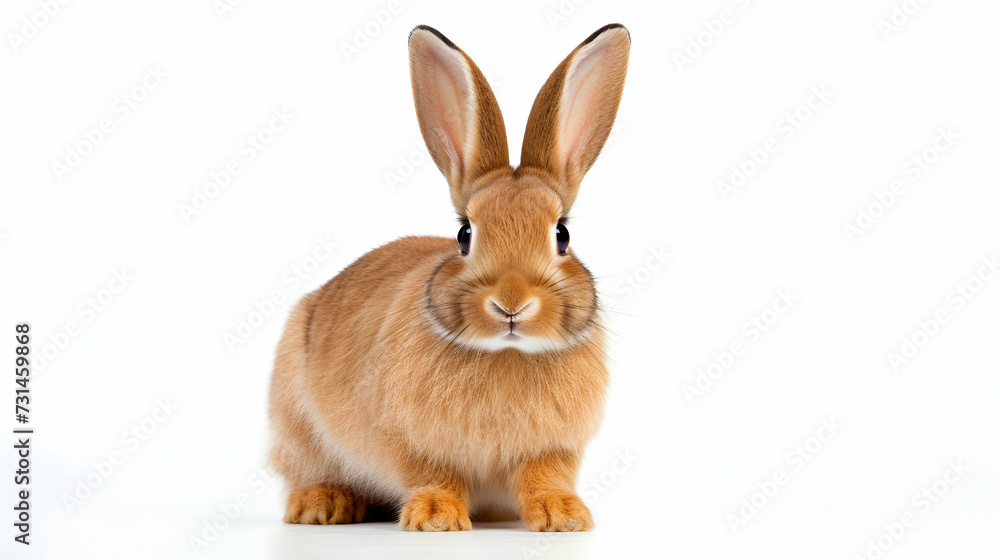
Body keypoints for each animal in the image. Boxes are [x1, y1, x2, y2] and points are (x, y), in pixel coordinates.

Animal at [270, 23, 628, 532]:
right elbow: (433, 473)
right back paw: (322, 504)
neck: (506, 354)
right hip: (295, 421)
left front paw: (562, 516)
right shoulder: (413, 441)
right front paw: (437, 518)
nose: (511, 303)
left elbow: (543, 475)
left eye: (562, 235)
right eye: (464, 234)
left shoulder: (551, 449)